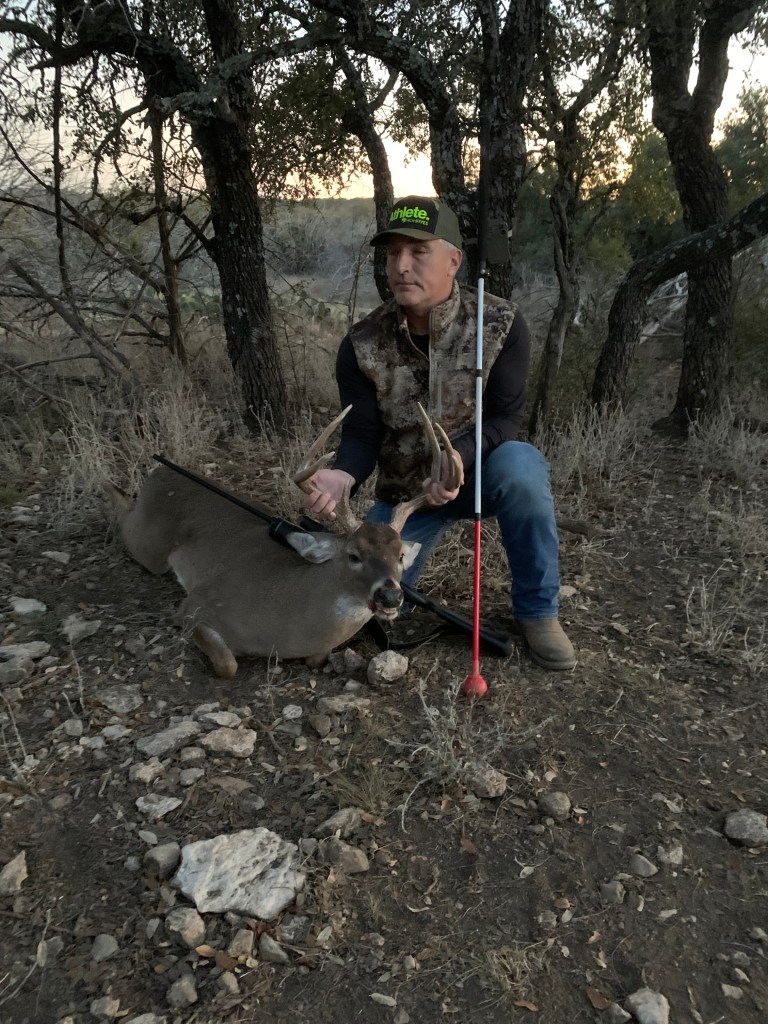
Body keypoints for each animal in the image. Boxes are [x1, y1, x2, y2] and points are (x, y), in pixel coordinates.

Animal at [113, 404, 459, 678]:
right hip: (148, 547)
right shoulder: (196, 605)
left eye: (400, 555)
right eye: (353, 555)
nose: (390, 596)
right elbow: (228, 665)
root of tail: (160, 474)